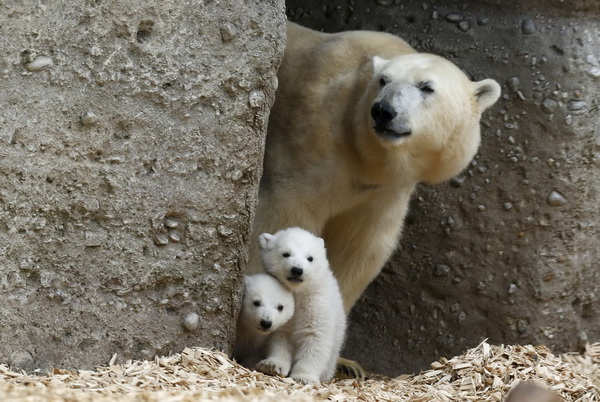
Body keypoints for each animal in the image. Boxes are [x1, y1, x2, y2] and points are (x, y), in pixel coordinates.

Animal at [246, 20, 500, 338]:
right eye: (383, 80)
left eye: (426, 87)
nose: (383, 111)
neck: (366, 155)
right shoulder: (307, 148)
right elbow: (283, 217)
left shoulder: (383, 191)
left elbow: (359, 249)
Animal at [254, 226, 346, 384]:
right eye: (286, 254)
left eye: (310, 258)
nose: (297, 270)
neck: (298, 293)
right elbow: (280, 336)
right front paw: (271, 365)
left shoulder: (317, 304)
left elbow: (315, 338)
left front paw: (304, 377)